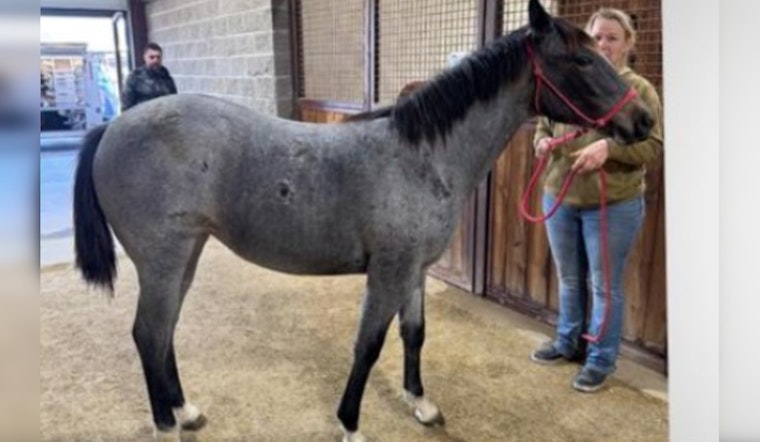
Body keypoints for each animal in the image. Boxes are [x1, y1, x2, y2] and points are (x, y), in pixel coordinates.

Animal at [72, 1, 653, 440]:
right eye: (580, 60)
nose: (644, 119)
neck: (423, 156)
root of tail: (114, 128)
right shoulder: (389, 272)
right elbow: (368, 346)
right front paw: (350, 424)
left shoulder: (414, 270)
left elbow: (415, 334)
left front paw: (421, 404)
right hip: (164, 260)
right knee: (149, 334)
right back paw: (167, 424)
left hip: (186, 255)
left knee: (164, 332)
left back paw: (186, 411)